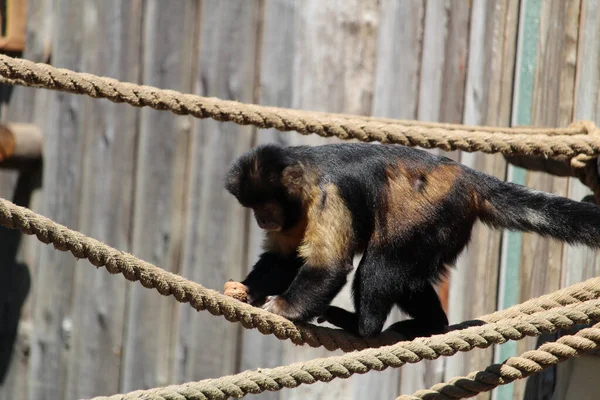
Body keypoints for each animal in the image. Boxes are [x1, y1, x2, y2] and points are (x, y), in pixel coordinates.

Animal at [224, 142, 600, 340]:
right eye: (255, 209)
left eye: (266, 207)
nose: (261, 219)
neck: (308, 177)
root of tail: (469, 179)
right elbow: (284, 258)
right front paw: (246, 291)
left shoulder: (329, 195)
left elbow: (328, 266)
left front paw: (286, 308)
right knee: (408, 276)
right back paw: (432, 324)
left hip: (435, 210)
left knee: (383, 264)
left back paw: (363, 328)